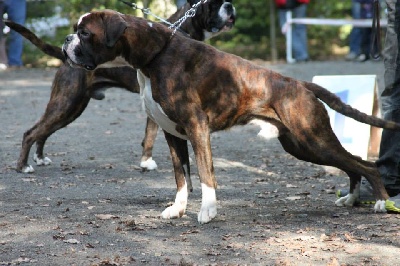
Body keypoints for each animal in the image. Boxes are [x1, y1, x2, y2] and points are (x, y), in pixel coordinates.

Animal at [6, 0, 236, 172]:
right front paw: (146, 162)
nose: (230, 6)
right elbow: (151, 134)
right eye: (214, 4)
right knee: (32, 132)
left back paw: (40, 158)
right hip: (65, 103)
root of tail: (65, 58)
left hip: (71, 108)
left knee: (44, 131)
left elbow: (149, 133)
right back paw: (23, 166)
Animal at [62, 9, 400, 223]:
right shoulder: (173, 134)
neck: (153, 56)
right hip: (302, 145)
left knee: (365, 164)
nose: (66, 40)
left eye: (85, 33)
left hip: (313, 139)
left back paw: (380, 202)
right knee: (352, 165)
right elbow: (181, 177)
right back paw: (352, 199)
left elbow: (205, 173)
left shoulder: (197, 128)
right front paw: (178, 209)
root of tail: (301, 84)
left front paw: (208, 211)